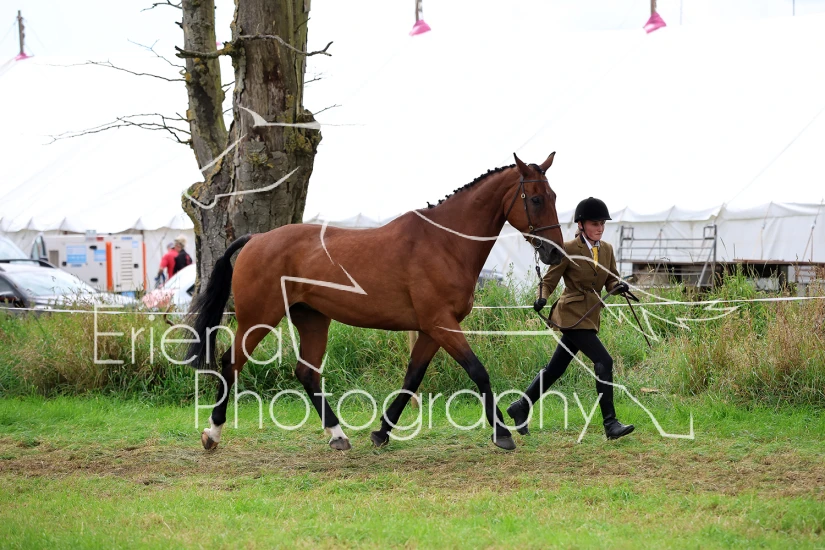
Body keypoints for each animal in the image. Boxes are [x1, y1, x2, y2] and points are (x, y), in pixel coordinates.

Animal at [186, 152, 565, 451]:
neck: (444, 242)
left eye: (554, 195)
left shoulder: (432, 329)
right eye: (535, 199)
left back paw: (338, 435)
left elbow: (412, 378)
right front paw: (502, 433)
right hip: (258, 318)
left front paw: (382, 432)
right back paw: (213, 433)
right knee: (230, 364)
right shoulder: (441, 323)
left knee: (307, 374)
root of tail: (256, 239)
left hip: (312, 319)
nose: (554, 253)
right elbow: (478, 372)